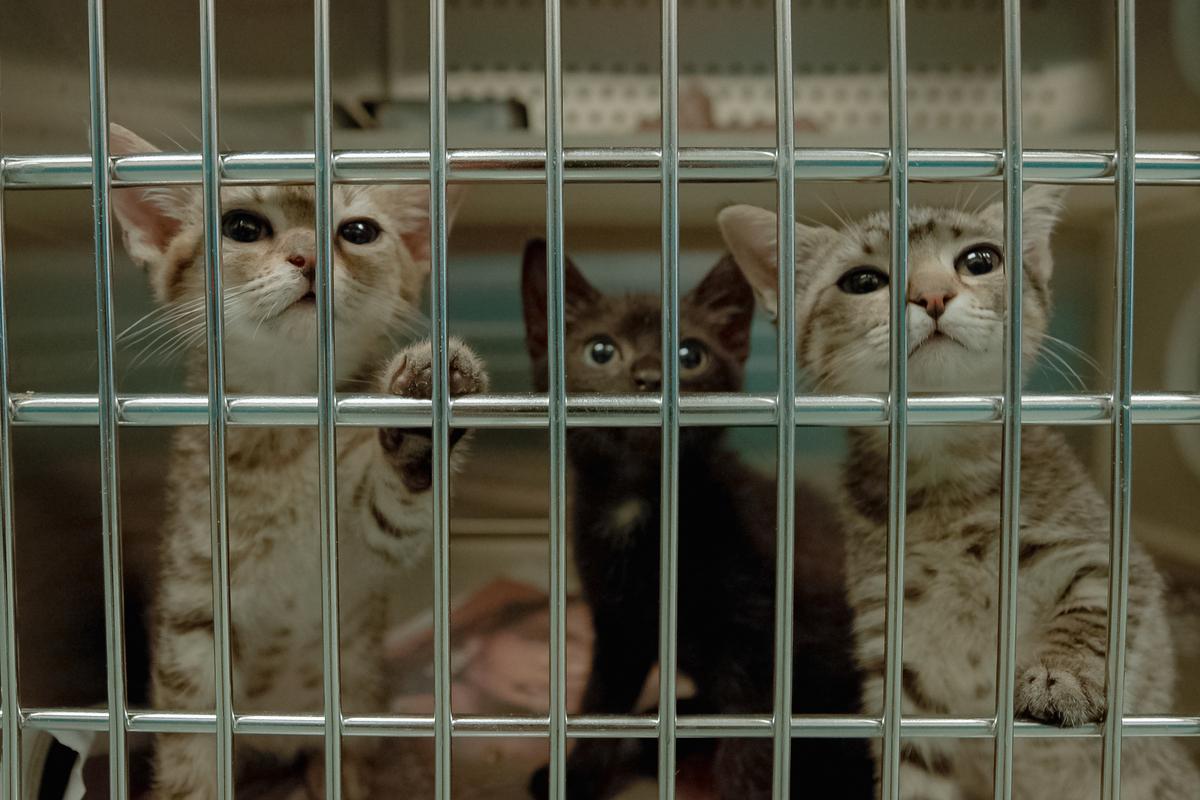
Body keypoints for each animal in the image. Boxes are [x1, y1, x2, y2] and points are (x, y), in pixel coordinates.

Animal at [109, 125, 487, 800]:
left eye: (359, 231)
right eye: (241, 226)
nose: (308, 257)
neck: (283, 426)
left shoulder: (371, 541)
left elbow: (392, 511)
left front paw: (421, 411)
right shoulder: (193, 612)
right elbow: (190, 747)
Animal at [518, 242, 873, 800]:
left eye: (690, 355)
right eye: (601, 350)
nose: (649, 378)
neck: (642, 502)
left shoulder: (759, 646)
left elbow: (750, 748)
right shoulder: (617, 625)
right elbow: (599, 704)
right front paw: (575, 776)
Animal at [715, 189, 1195, 800]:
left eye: (980, 260)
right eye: (862, 280)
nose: (932, 294)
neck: (943, 467)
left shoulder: (1104, 552)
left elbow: (1094, 606)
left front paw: (1061, 674)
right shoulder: (900, 663)